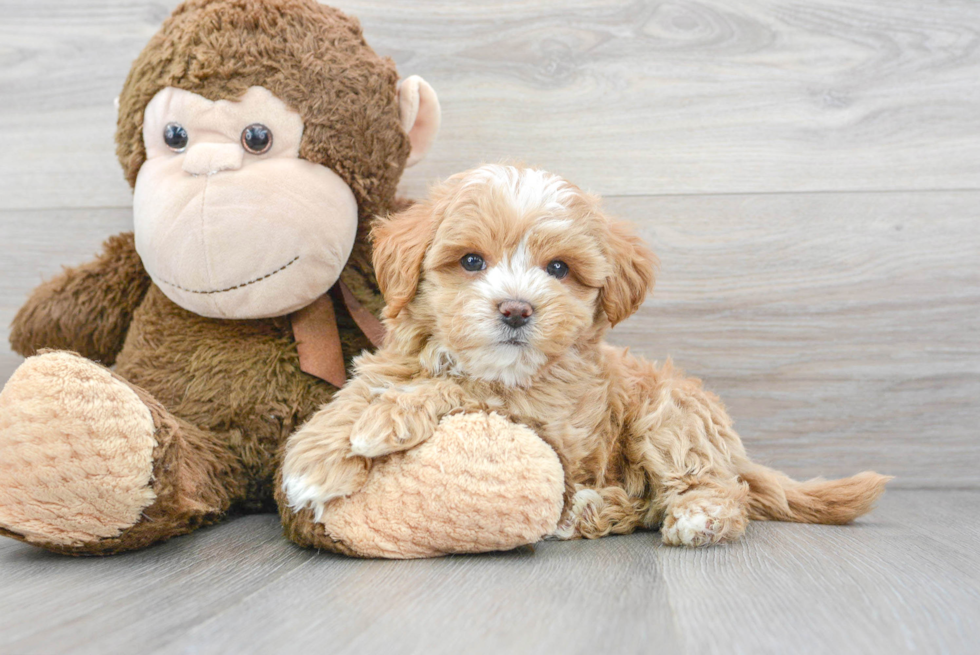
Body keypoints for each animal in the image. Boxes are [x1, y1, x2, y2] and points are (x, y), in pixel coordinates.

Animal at [282, 165, 888, 548]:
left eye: (558, 269)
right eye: (471, 261)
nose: (516, 309)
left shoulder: (552, 422)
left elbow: (466, 388)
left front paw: (384, 419)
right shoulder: (394, 362)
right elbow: (363, 388)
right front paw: (317, 455)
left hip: (670, 414)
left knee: (706, 487)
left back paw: (692, 517)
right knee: (647, 505)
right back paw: (592, 511)